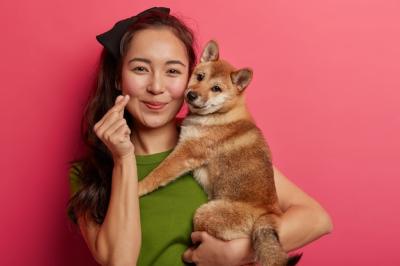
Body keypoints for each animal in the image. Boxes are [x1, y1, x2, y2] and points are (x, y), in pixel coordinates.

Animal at [139, 40, 302, 264]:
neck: (220, 115)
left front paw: (139, 187)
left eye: (216, 88)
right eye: (200, 76)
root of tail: (270, 215)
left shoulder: (185, 152)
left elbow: (158, 173)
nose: (191, 95)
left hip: (203, 214)